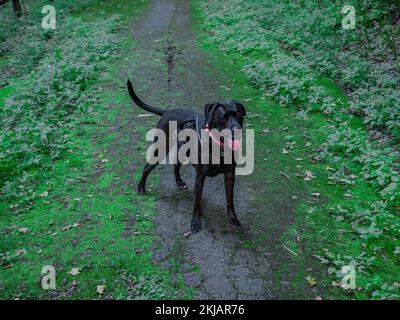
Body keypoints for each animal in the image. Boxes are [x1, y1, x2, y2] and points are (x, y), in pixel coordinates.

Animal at [126, 79, 245, 231]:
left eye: (238, 115)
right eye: (223, 117)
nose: (237, 129)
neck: (218, 145)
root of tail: (167, 111)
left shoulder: (230, 174)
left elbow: (230, 200)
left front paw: (233, 218)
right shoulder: (200, 175)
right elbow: (197, 202)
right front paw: (195, 222)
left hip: (182, 151)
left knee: (175, 165)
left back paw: (179, 182)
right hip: (161, 148)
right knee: (147, 167)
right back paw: (141, 187)